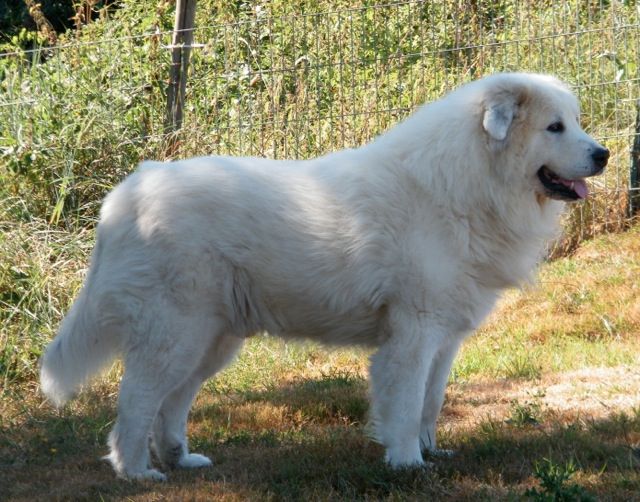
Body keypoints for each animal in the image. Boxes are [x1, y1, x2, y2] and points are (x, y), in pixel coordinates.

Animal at [41, 73, 608, 478]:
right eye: (555, 128)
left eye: (575, 122)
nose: (602, 154)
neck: (465, 184)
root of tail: (129, 192)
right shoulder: (414, 333)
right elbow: (405, 405)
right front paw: (407, 464)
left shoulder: (444, 338)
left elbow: (431, 402)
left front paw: (432, 453)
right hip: (175, 333)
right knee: (137, 401)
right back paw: (136, 472)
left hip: (211, 340)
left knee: (172, 402)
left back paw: (180, 459)